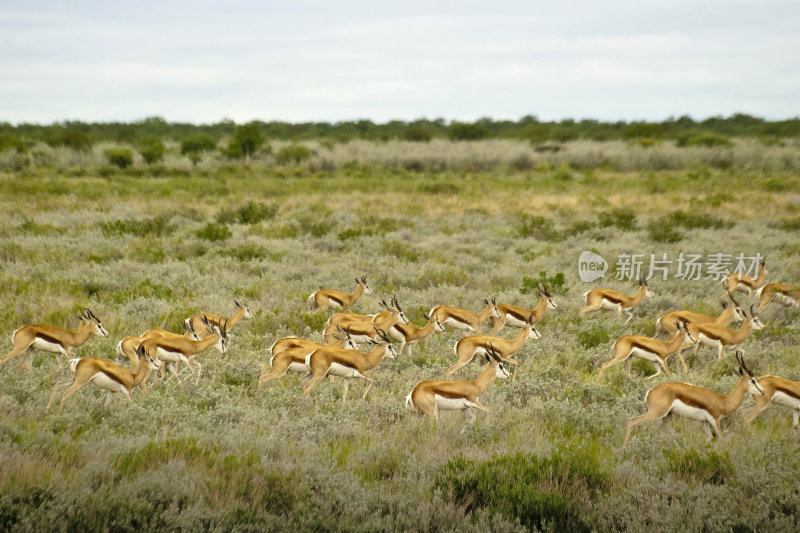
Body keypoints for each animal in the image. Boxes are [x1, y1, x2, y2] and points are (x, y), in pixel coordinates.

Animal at [620, 352, 764, 446]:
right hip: (657, 413)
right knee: (632, 421)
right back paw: (622, 450)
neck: (724, 401)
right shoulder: (714, 420)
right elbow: (722, 438)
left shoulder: (704, 422)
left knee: (663, 433)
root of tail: (651, 391)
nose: (763, 391)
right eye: (753, 380)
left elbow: (708, 439)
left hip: (667, 416)